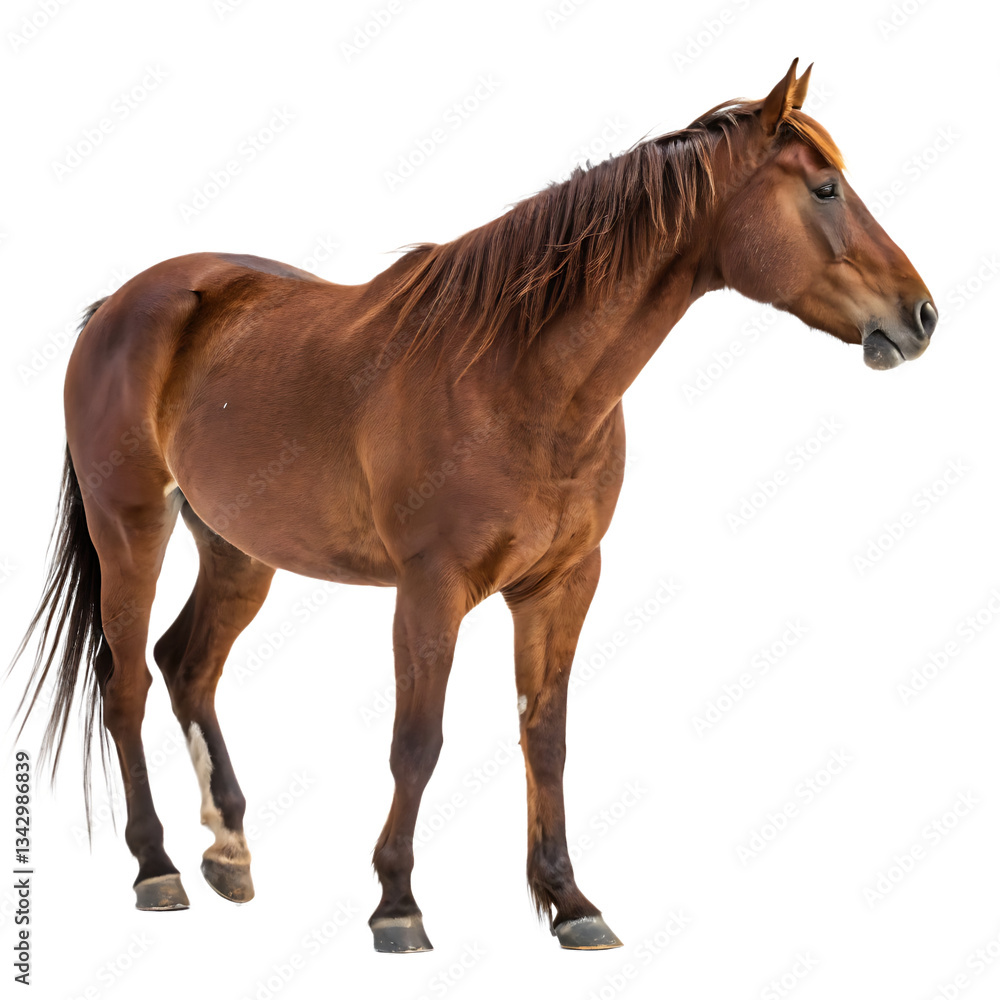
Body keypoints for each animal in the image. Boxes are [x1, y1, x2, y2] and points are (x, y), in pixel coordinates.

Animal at [11, 59, 936, 952]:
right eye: (826, 189)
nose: (921, 315)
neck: (520, 378)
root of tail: (120, 307)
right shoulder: (431, 589)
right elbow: (417, 743)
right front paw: (397, 906)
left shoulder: (562, 584)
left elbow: (546, 738)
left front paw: (570, 903)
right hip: (132, 529)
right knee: (127, 682)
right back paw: (156, 866)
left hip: (239, 549)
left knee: (188, 664)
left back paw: (228, 851)